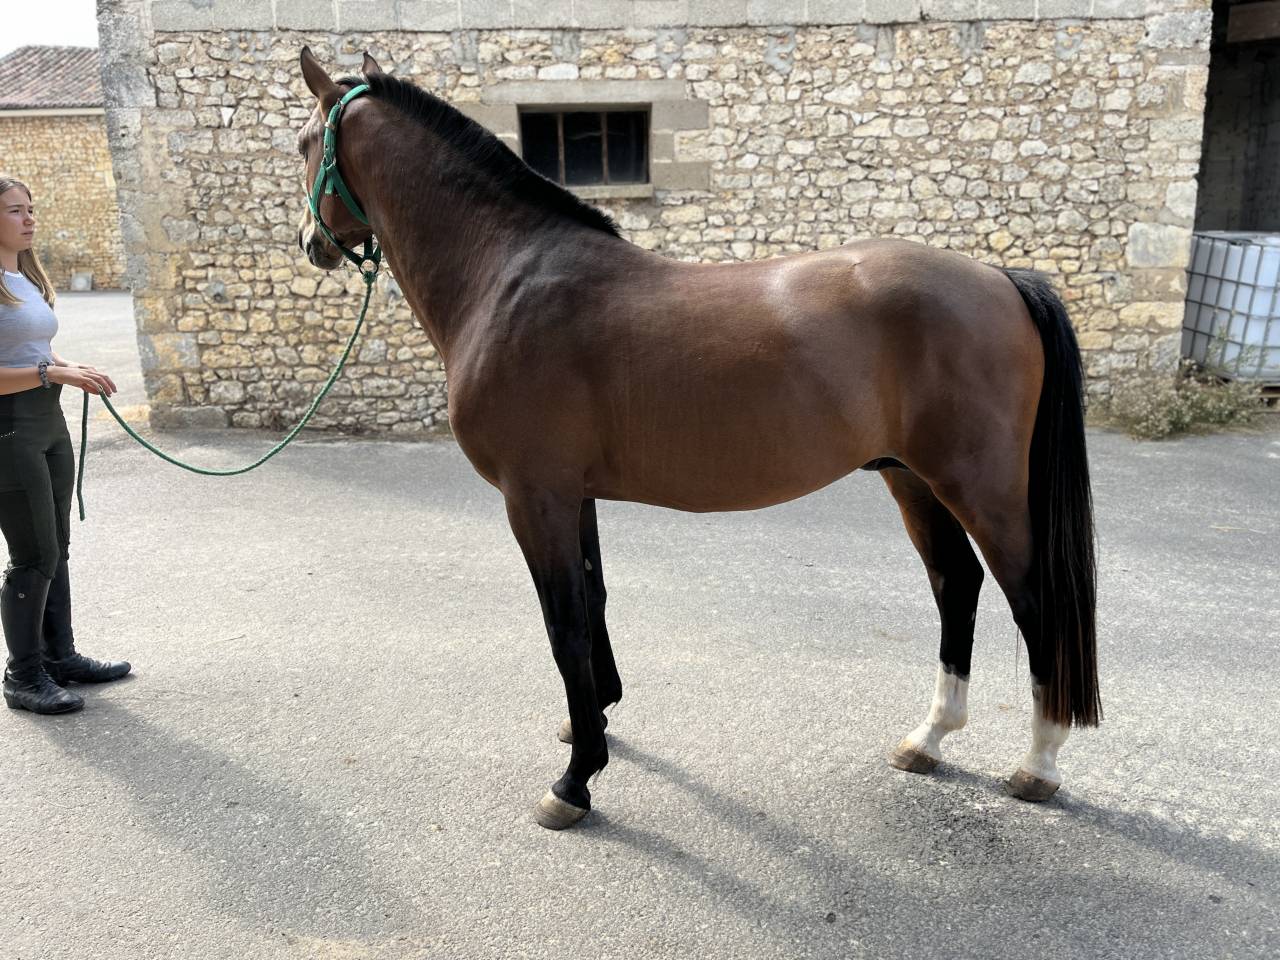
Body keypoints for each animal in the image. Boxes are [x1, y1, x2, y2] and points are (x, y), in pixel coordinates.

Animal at [293, 48, 1100, 830]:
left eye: (303, 143)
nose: (311, 245)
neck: (508, 278)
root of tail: (1000, 277)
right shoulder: (572, 494)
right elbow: (594, 599)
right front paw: (592, 722)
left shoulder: (534, 496)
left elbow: (564, 624)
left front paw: (576, 780)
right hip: (910, 477)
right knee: (955, 583)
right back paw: (928, 739)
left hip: (979, 486)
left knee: (1033, 597)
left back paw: (1039, 762)